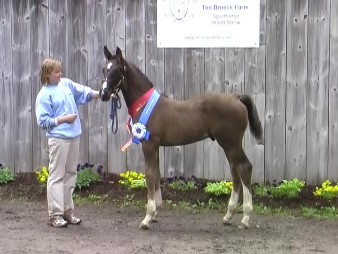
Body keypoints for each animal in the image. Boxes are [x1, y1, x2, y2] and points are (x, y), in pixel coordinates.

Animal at [100, 46, 264, 230]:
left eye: (116, 71)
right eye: (104, 69)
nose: (103, 94)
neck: (146, 104)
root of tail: (237, 97)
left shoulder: (148, 145)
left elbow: (149, 175)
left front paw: (147, 217)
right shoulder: (156, 147)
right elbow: (156, 174)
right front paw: (155, 213)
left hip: (231, 144)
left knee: (244, 168)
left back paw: (245, 218)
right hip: (229, 145)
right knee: (235, 171)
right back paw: (228, 216)